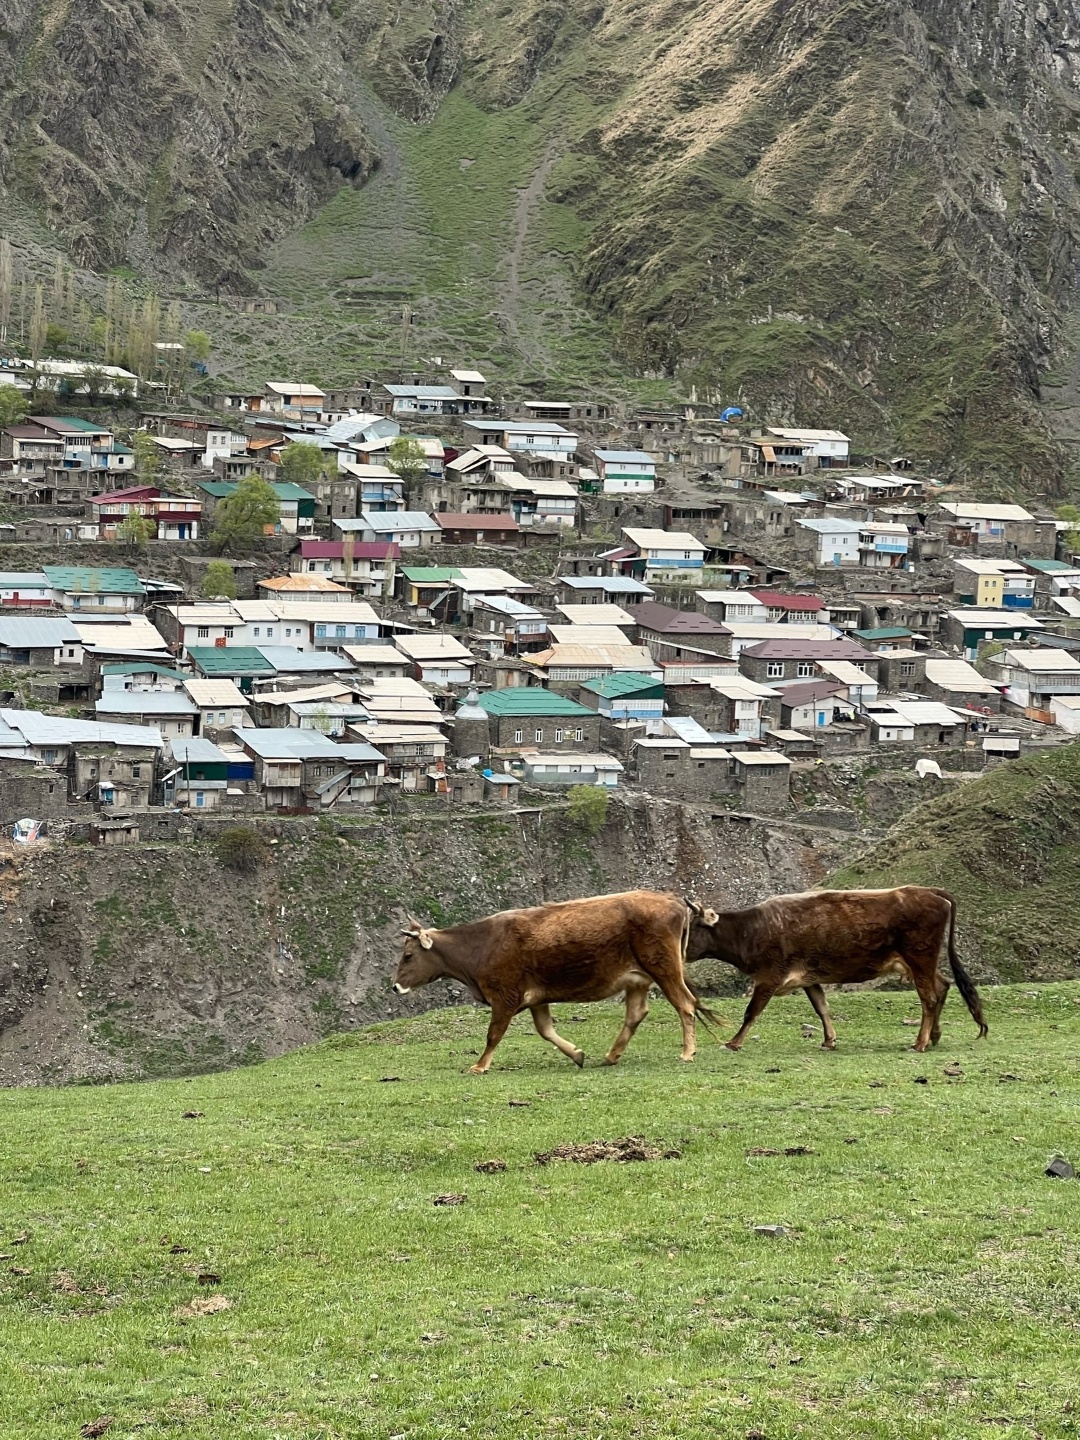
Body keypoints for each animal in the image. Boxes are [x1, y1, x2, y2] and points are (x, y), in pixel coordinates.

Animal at [394, 887, 705, 1071]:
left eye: (408, 956)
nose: (395, 986)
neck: (480, 945)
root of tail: (671, 899)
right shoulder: (536, 998)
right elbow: (545, 1030)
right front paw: (576, 1054)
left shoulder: (505, 997)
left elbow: (493, 1033)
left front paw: (480, 1066)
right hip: (637, 978)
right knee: (636, 1014)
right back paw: (611, 1055)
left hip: (664, 969)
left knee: (685, 1005)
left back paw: (688, 1051)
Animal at [685, 881, 990, 1054]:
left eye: (691, 927)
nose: (679, 951)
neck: (751, 929)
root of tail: (929, 891)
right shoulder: (809, 978)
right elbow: (822, 1008)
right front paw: (829, 1040)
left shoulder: (769, 976)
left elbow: (752, 1012)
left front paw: (734, 1042)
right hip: (918, 963)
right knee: (943, 986)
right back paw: (935, 1036)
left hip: (919, 957)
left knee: (929, 998)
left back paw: (920, 1043)